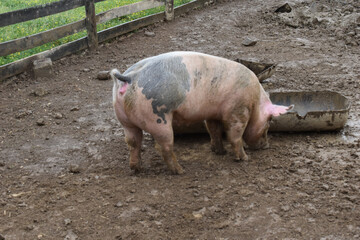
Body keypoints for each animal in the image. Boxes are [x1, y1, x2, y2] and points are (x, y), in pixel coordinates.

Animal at [111, 51, 294, 173]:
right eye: (269, 122)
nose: (266, 145)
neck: (255, 101)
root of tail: (130, 77)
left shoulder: (213, 114)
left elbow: (214, 131)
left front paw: (219, 152)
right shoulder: (237, 110)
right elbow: (234, 135)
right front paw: (244, 159)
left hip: (124, 120)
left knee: (133, 142)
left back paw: (137, 169)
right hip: (158, 117)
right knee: (164, 146)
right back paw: (180, 171)